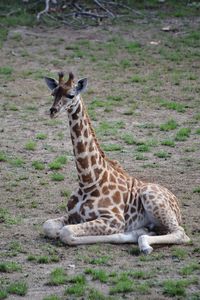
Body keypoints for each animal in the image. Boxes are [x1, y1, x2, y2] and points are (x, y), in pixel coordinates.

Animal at [43, 72, 190, 253]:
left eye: (71, 95)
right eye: (53, 93)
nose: (53, 111)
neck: (88, 180)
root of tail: (177, 204)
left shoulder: (113, 219)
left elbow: (66, 232)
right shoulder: (73, 215)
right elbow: (48, 225)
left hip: (152, 198)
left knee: (181, 233)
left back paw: (145, 245)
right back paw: (140, 232)